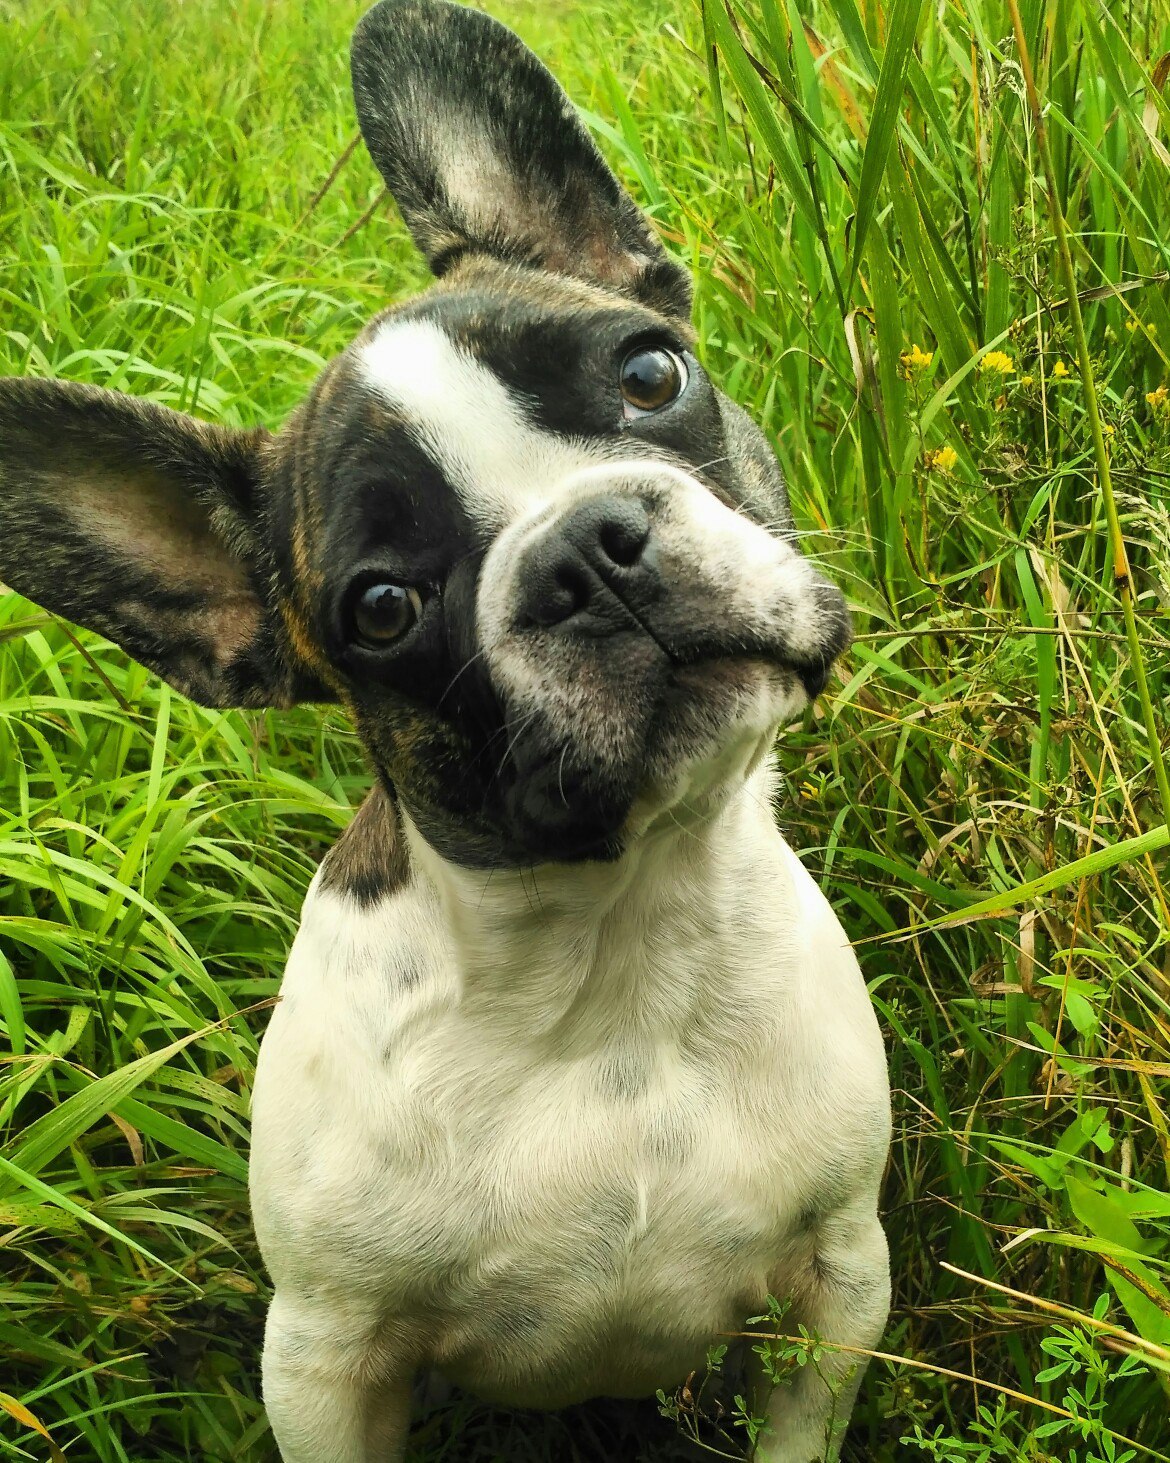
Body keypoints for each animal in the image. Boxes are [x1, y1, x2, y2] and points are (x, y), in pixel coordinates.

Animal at [0, 5, 889, 1457]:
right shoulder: (324, 1355)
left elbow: (797, 1427)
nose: (588, 550)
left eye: (652, 372)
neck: (622, 937)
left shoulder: (841, 1276)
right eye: (381, 607)